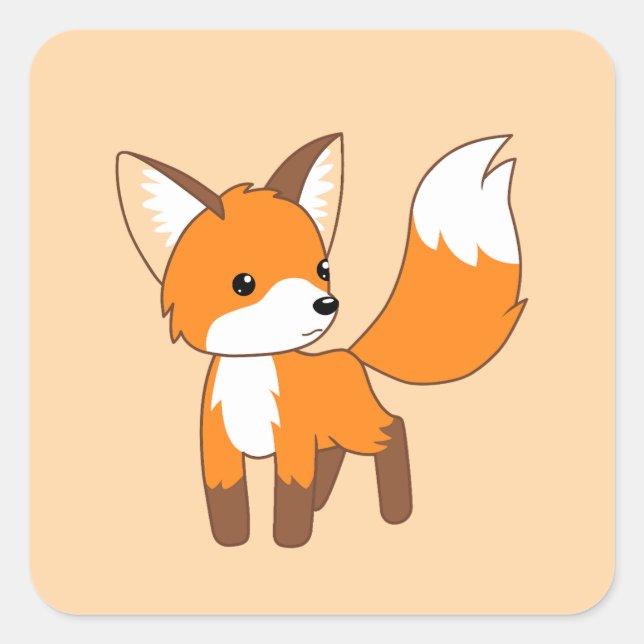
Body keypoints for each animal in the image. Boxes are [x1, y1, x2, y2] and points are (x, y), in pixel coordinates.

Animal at [116, 133, 526, 548]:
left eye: (322, 269)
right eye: (243, 284)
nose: (326, 304)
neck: (251, 378)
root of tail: (348, 354)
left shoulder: (293, 446)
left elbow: (291, 493)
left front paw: (290, 540)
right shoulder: (220, 452)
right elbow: (225, 500)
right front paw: (231, 541)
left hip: (361, 427)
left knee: (394, 429)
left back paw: (395, 512)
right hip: (333, 432)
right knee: (334, 453)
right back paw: (325, 503)